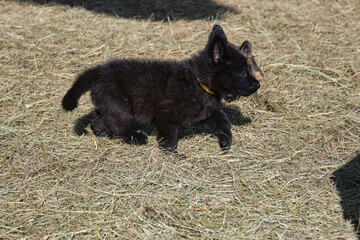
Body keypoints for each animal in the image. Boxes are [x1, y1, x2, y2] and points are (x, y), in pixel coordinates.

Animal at [61, 25, 258, 152]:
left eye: (248, 69)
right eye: (242, 72)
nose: (258, 85)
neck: (197, 81)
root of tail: (99, 72)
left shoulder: (207, 112)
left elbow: (223, 122)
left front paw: (226, 142)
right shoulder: (165, 117)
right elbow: (169, 140)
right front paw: (172, 154)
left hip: (108, 103)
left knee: (99, 120)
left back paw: (103, 132)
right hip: (122, 106)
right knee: (116, 124)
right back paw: (135, 137)